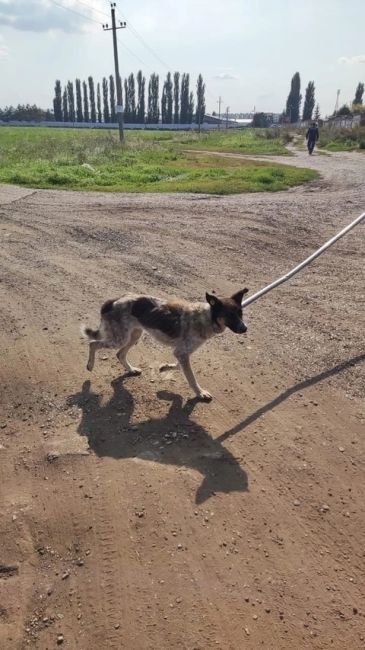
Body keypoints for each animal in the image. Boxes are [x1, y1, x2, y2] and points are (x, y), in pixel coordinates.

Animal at [82, 288, 247, 400]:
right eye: (229, 315)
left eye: (240, 313)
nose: (245, 328)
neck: (207, 317)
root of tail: (114, 300)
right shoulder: (182, 353)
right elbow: (191, 378)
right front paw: (200, 393)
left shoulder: (182, 353)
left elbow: (179, 366)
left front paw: (165, 368)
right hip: (119, 339)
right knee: (93, 343)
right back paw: (89, 365)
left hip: (134, 335)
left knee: (120, 354)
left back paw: (131, 370)